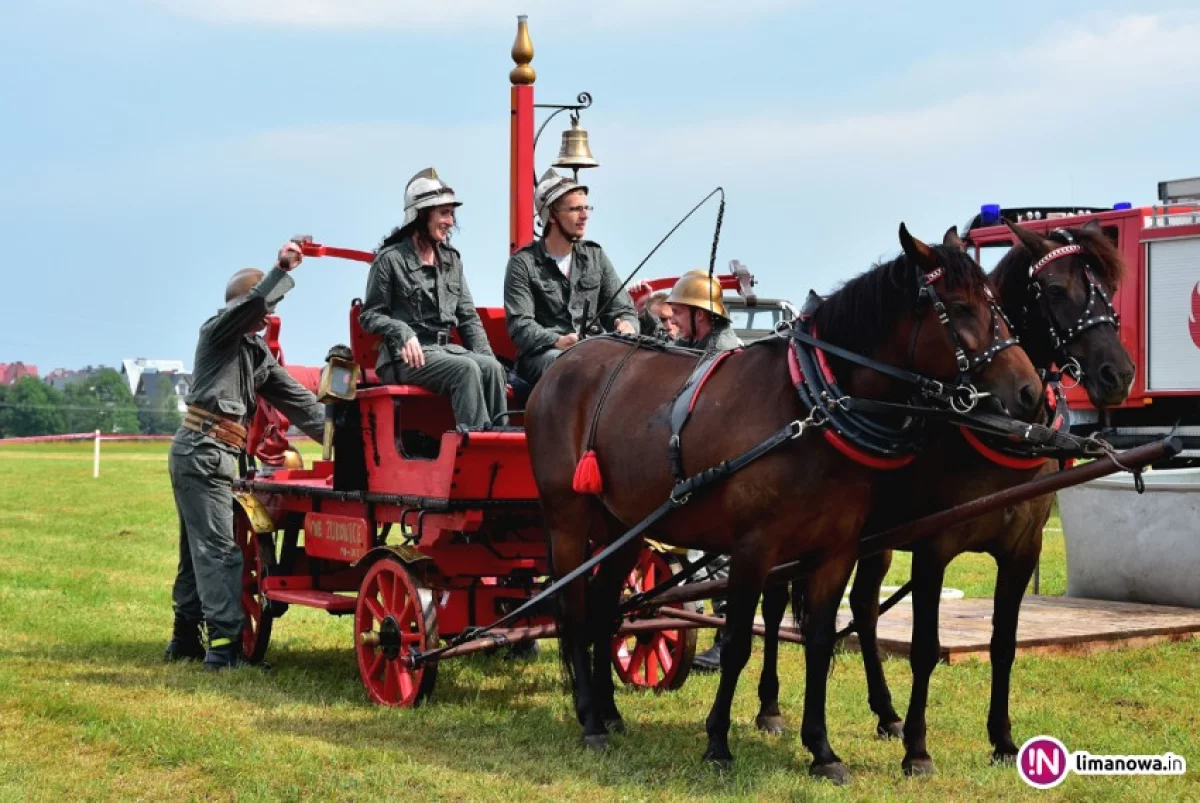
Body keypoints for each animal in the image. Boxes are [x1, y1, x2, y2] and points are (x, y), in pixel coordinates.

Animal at [525, 222, 1041, 777]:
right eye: (961, 307)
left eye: (997, 304)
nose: (1030, 392)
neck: (811, 406)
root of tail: (564, 364)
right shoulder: (754, 547)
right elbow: (736, 644)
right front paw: (717, 742)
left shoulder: (836, 550)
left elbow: (818, 641)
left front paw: (821, 749)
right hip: (568, 518)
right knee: (575, 609)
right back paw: (590, 719)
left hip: (624, 525)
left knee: (605, 609)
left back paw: (609, 711)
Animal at [840, 216, 1128, 772]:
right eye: (1055, 290)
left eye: (1108, 289)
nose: (1118, 374)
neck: (999, 424)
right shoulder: (933, 547)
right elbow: (925, 647)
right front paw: (918, 750)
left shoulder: (1023, 549)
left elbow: (1003, 643)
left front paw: (1003, 741)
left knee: (862, 606)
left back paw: (885, 713)